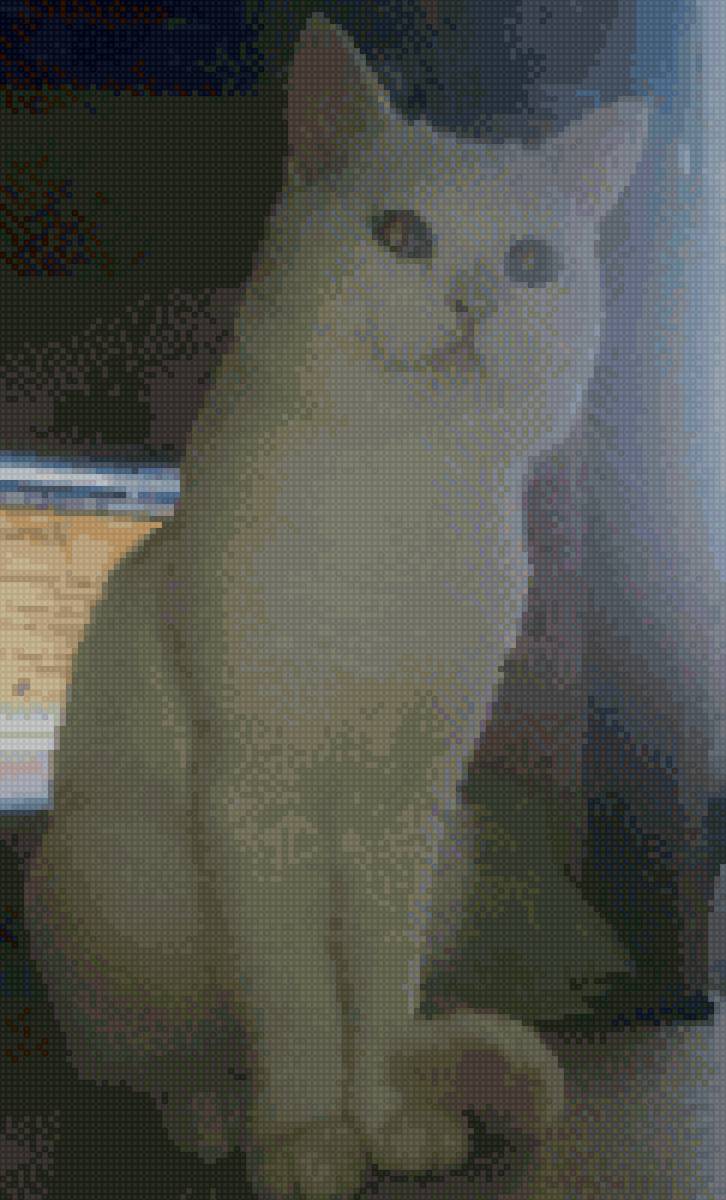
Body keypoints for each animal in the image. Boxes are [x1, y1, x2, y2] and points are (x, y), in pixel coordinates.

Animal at [24, 13, 649, 1199]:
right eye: (402, 235)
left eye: (531, 264)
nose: (474, 303)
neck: (394, 508)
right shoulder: (260, 801)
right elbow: (303, 1008)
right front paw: (311, 1140)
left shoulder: (403, 814)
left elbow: (376, 1009)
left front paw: (391, 1126)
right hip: (119, 879)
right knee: (155, 1055)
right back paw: (220, 1114)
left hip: (452, 850)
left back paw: (473, 1090)